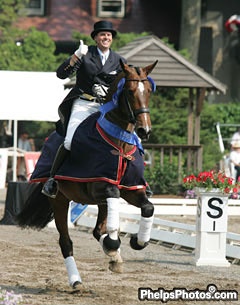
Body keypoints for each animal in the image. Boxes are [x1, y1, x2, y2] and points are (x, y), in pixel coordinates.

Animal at [16, 58, 158, 288]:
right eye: (129, 91)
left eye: (148, 92)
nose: (144, 130)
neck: (119, 142)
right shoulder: (99, 186)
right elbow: (113, 197)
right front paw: (115, 243)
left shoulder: (130, 189)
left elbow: (148, 208)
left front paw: (137, 241)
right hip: (60, 201)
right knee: (66, 242)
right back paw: (77, 281)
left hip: (98, 203)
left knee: (98, 230)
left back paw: (114, 256)